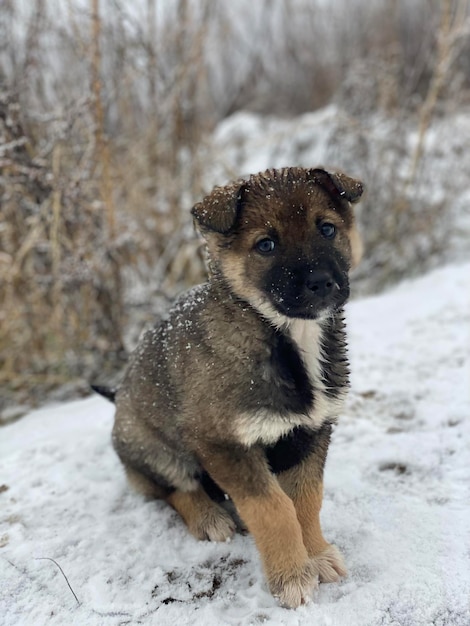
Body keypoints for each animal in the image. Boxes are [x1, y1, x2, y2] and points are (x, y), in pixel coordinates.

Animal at [107, 166, 364, 604]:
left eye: (327, 229)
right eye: (266, 244)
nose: (321, 283)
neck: (285, 337)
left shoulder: (313, 431)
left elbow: (306, 500)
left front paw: (316, 555)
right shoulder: (223, 443)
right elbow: (273, 508)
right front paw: (291, 576)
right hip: (155, 448)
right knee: (174, 488)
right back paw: (209, 516)